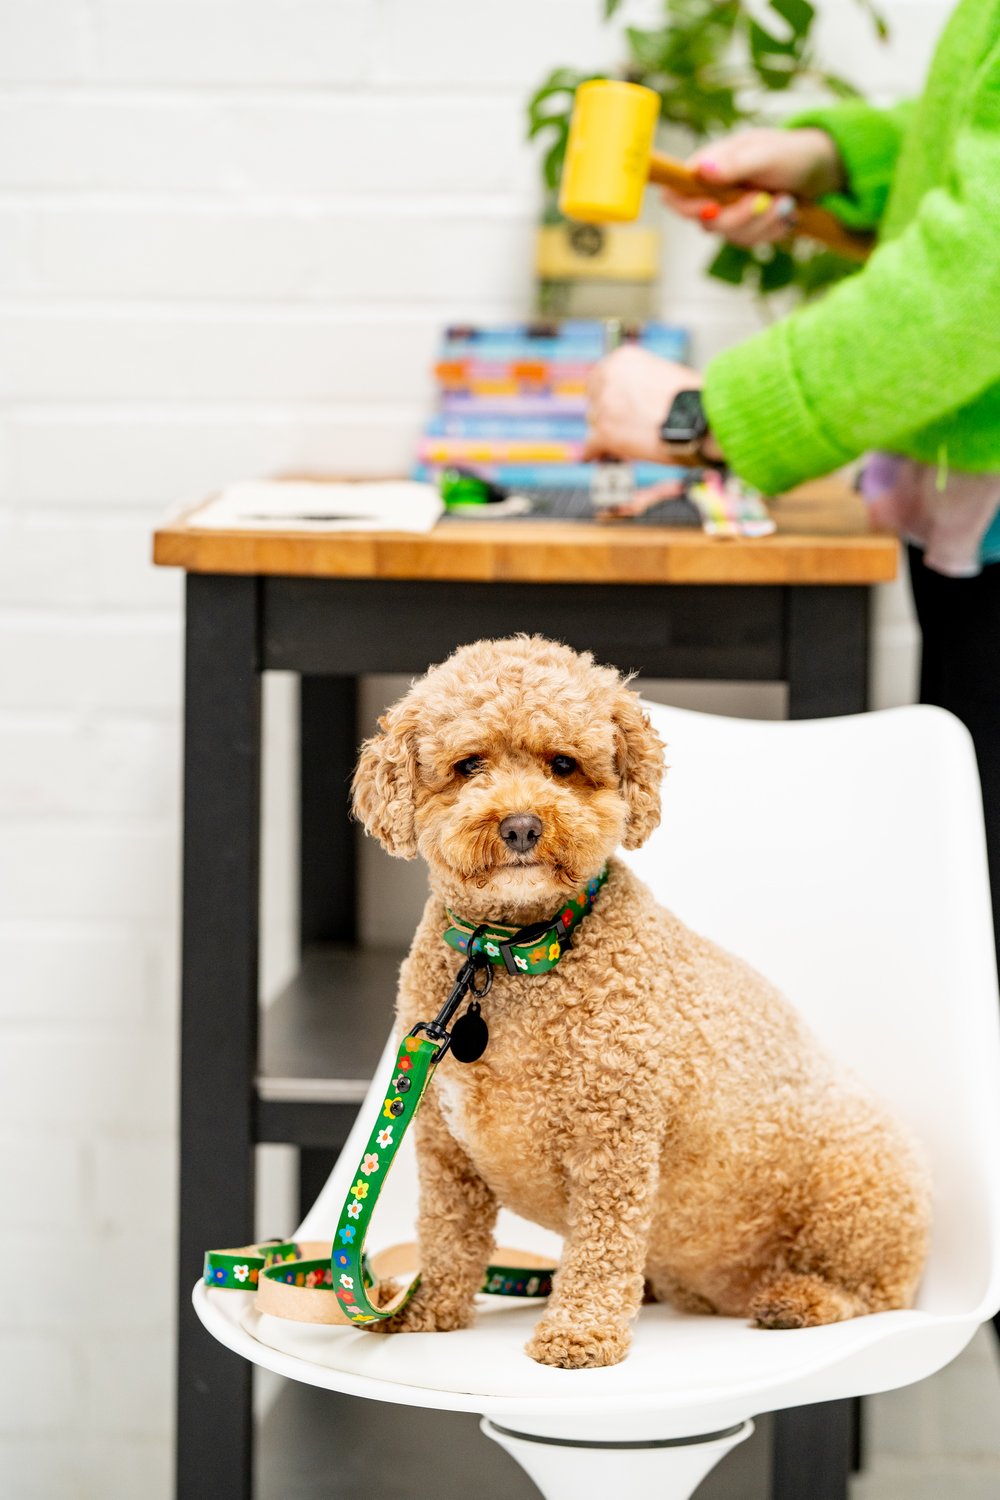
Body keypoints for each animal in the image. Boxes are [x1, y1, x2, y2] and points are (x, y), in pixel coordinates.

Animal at [352, 633, 929, 1374]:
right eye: (468, 764)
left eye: (563, 764)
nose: (521, 826)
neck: (513, 955)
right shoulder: (443, 1149)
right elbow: (448, 1240)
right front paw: (422, 1311)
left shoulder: (615, 1142)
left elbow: (601, 1250)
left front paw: (580, 1333)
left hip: (858, 1185)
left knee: (875, 1292)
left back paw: (800, 1300)